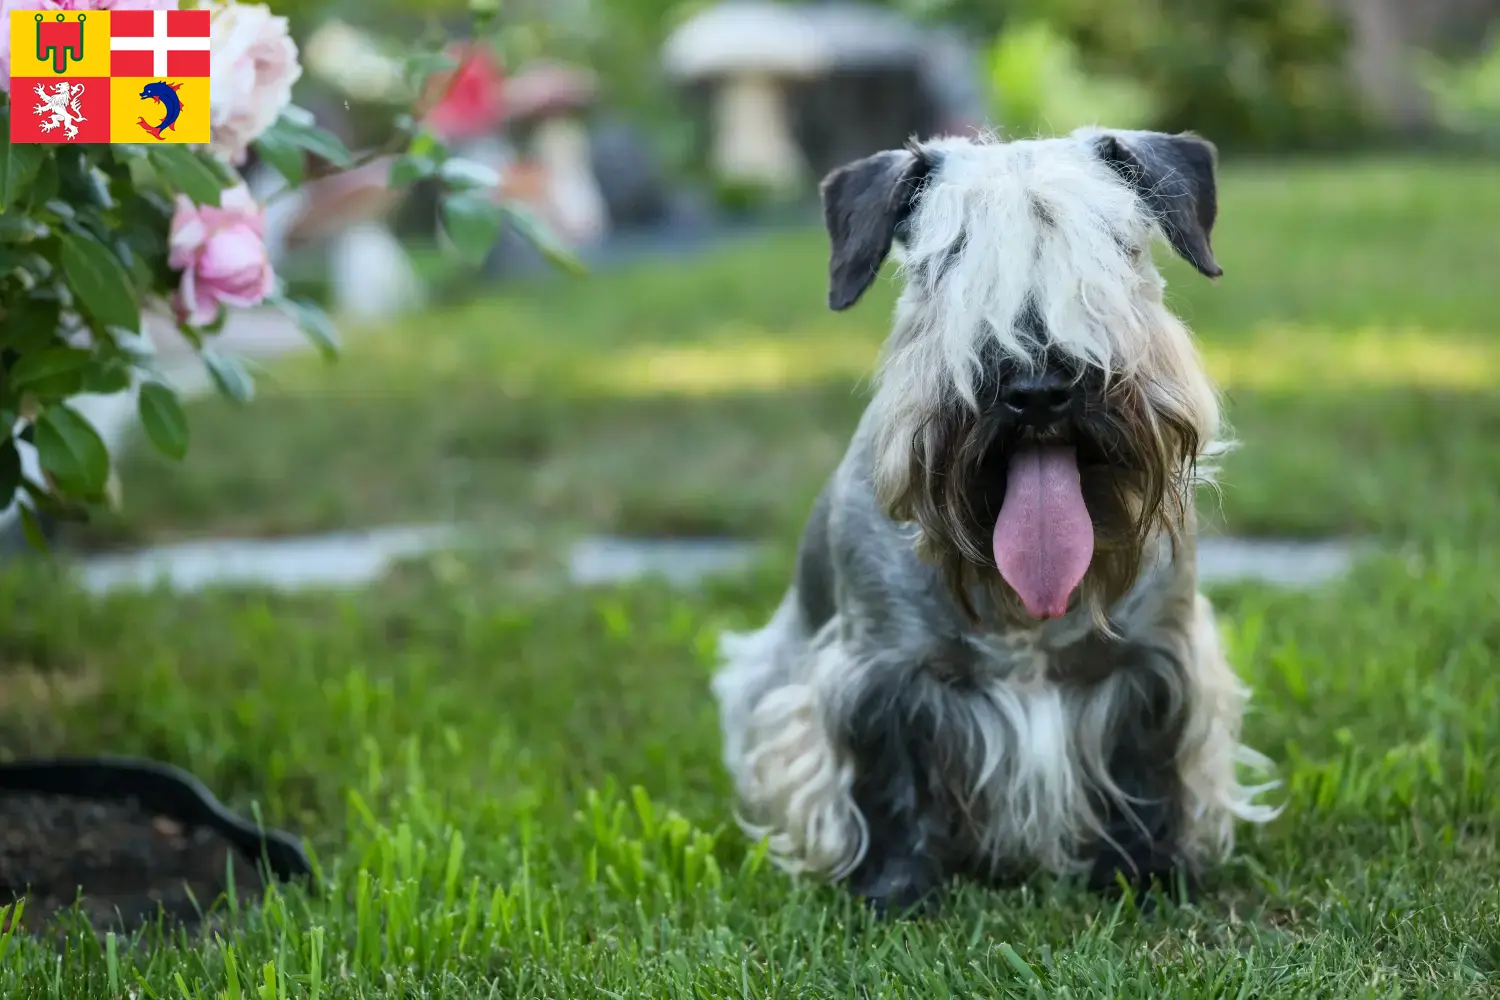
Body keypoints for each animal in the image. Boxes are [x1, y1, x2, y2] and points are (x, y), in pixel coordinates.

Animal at [711, 127, 1278, 917]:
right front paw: (893, 890)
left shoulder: (1152, 663)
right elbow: (888, 785)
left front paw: (1147, 875)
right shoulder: (882, 671)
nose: (1037, 386)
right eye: (945, 259)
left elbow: (1144, 777)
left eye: (1118, 244)